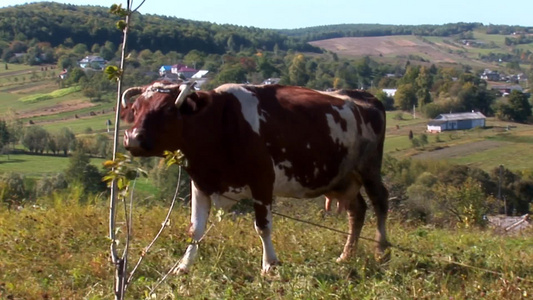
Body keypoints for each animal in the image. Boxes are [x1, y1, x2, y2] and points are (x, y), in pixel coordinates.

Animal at [119, 79, 386, 274]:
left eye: (166, 110)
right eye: (135, 109)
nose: (132, 138)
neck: (219, 123)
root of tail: (364, 96)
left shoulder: (262, 180)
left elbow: (263, 226)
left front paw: (269, 265)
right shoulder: (201, 183)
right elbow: (195, 229)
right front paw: (183, 266)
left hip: (369, 168)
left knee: (379, 201)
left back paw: (382, 252)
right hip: (342, 177)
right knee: (357, 210)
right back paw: (346, 256)